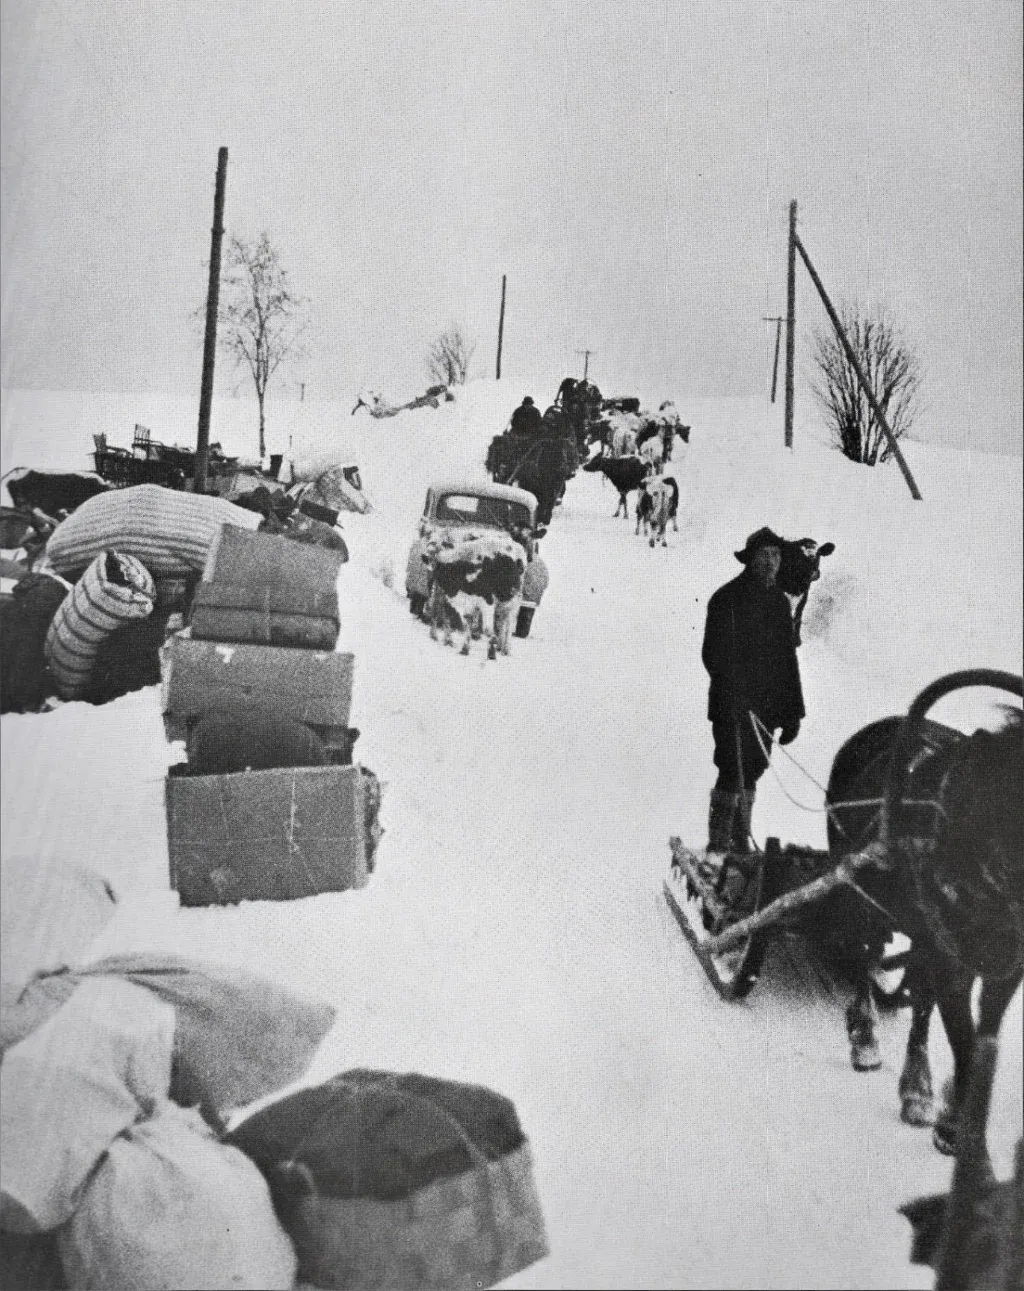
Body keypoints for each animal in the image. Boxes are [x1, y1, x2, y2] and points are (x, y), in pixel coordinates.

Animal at [820, 671, 1023, 1157]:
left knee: (916, 987)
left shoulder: (1007, 969)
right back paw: (866, 1038)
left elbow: (980, 1034)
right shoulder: (952, 959)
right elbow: (964, 1038)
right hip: (860, 893)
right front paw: (955, 1130)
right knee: (863, 952)